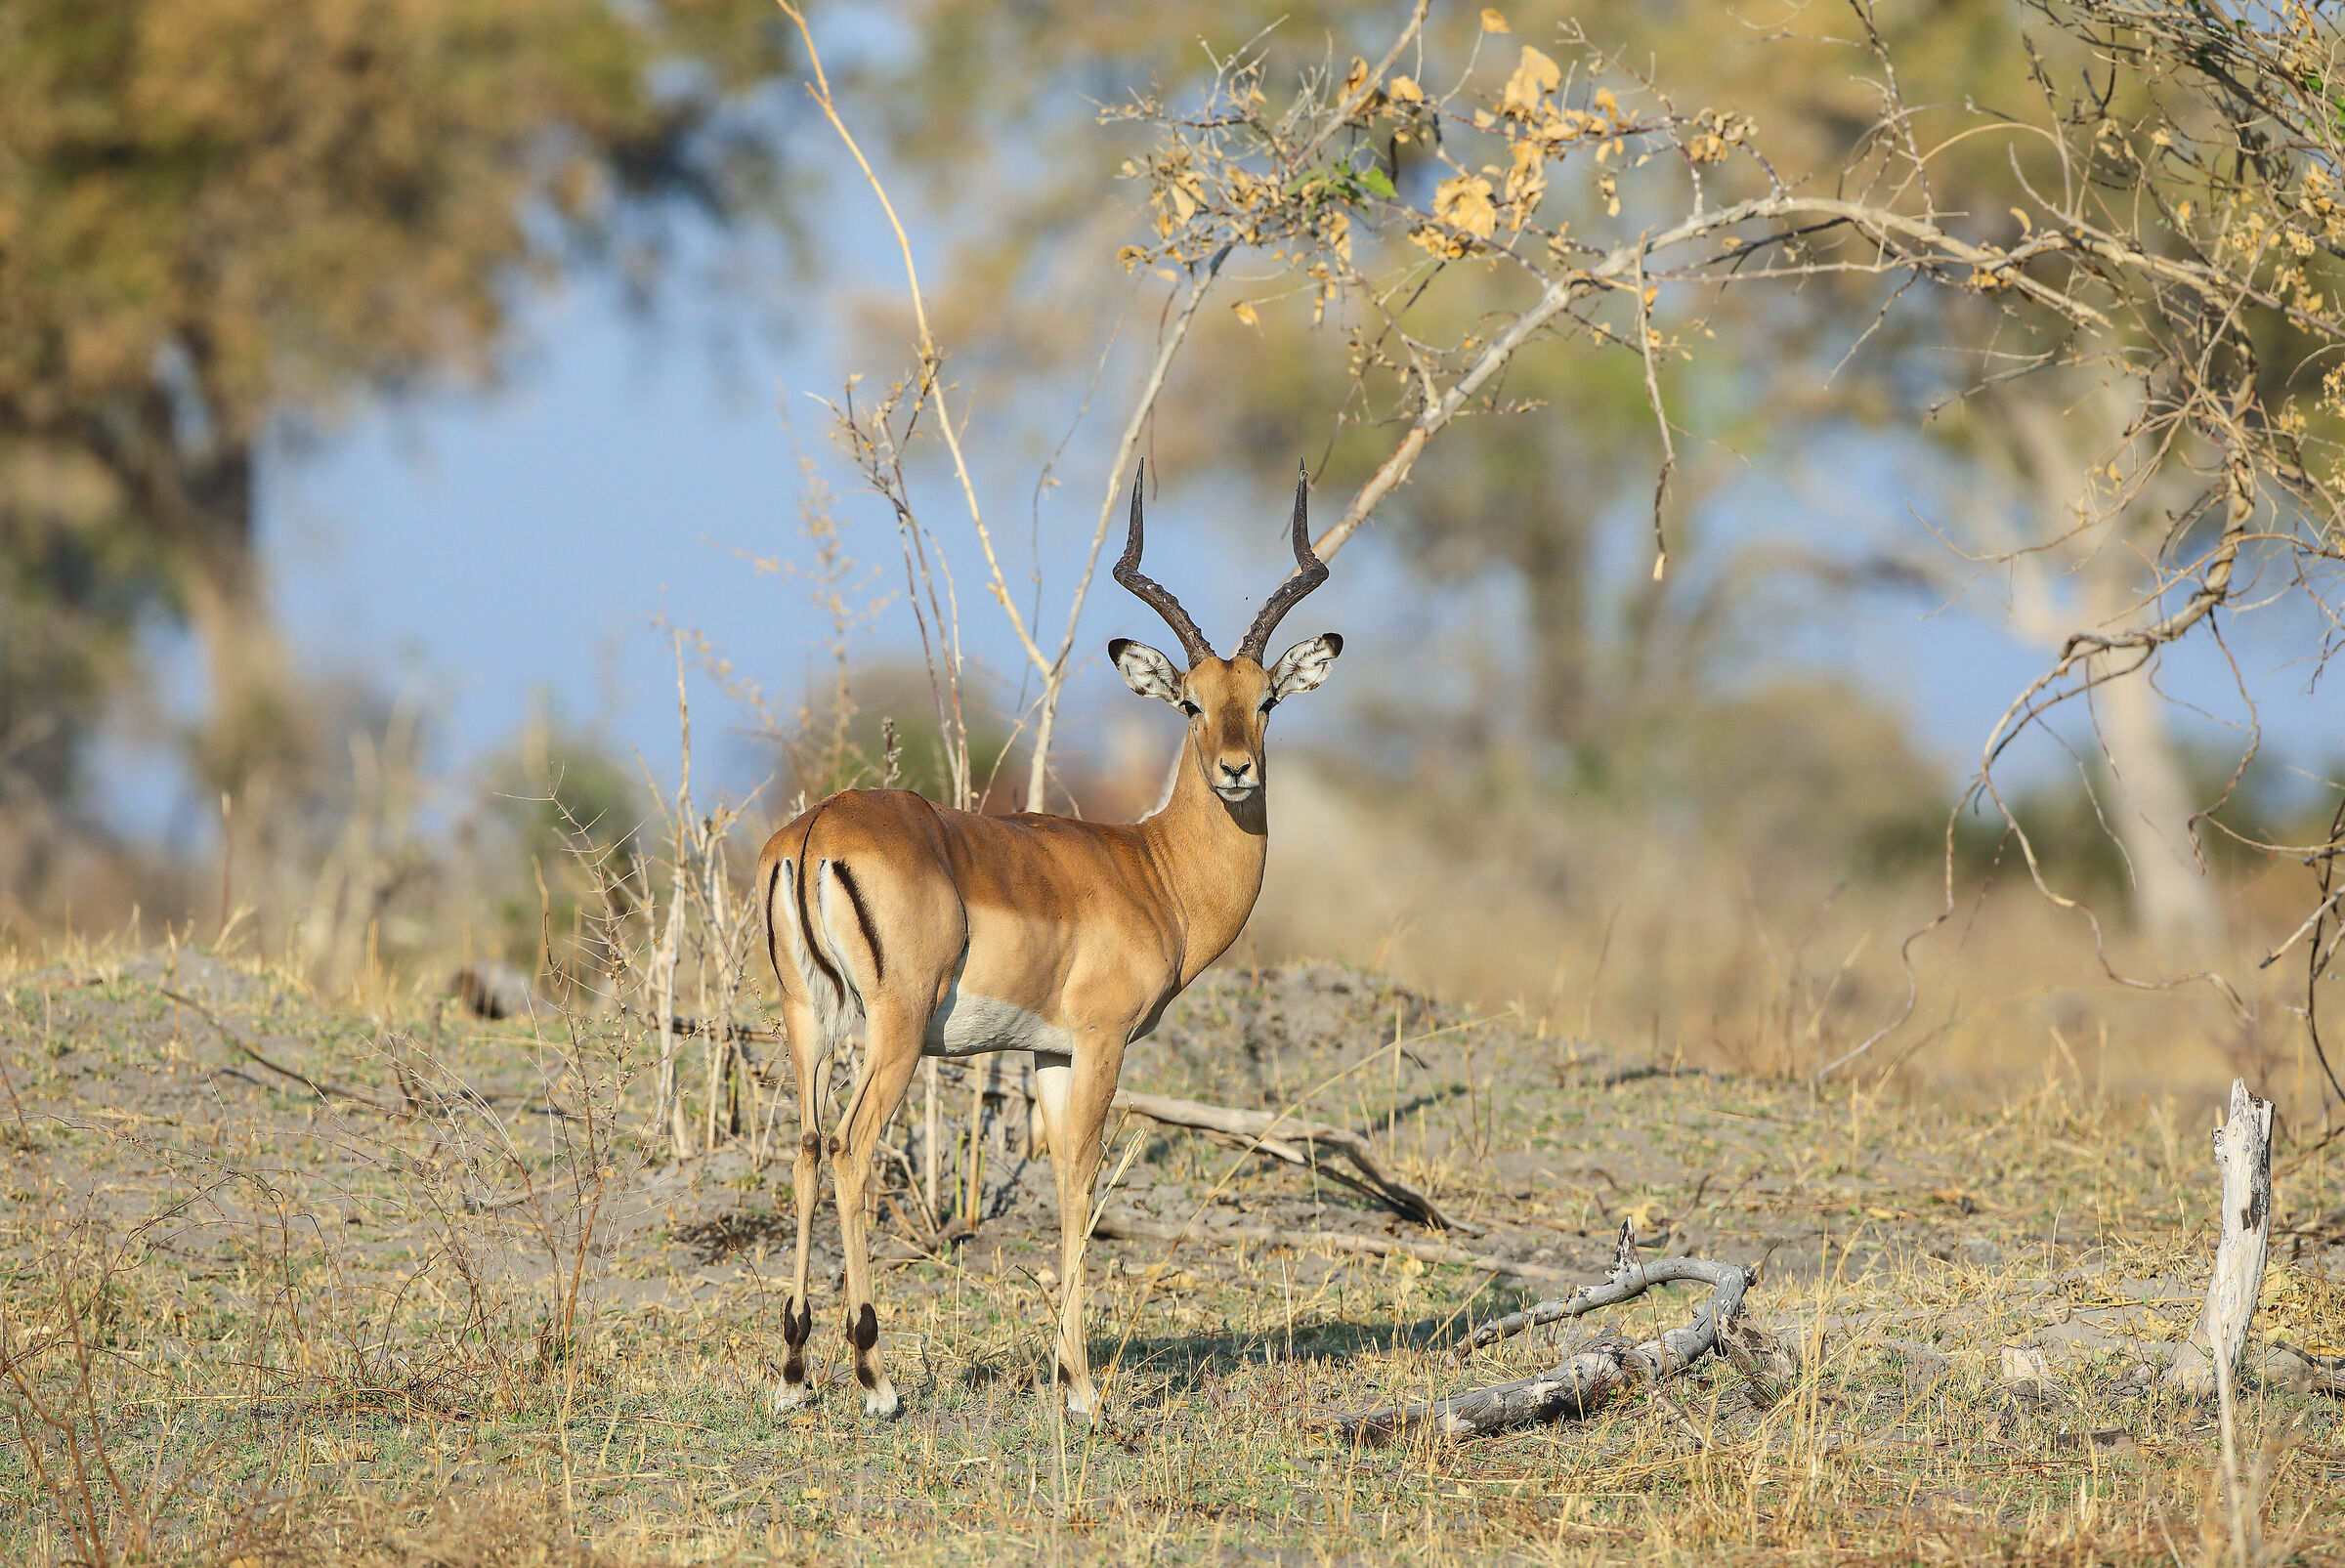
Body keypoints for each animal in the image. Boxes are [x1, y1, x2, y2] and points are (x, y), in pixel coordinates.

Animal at [756, 465, 1341, 1418]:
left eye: (1266, 700)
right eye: (1190, 702)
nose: (1236, 770)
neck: (1153, 869)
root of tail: (817, 830)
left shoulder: (1048, 1053)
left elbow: (1062, 1176)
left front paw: (1069, 1374)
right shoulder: (1101, 1042)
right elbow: (1080, 1183)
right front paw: (1083, 1390)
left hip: (807, 1018)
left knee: (806, 1150)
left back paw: (793, 1373)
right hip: (893, 1032)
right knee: (850, 1150)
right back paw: (875, 1377)